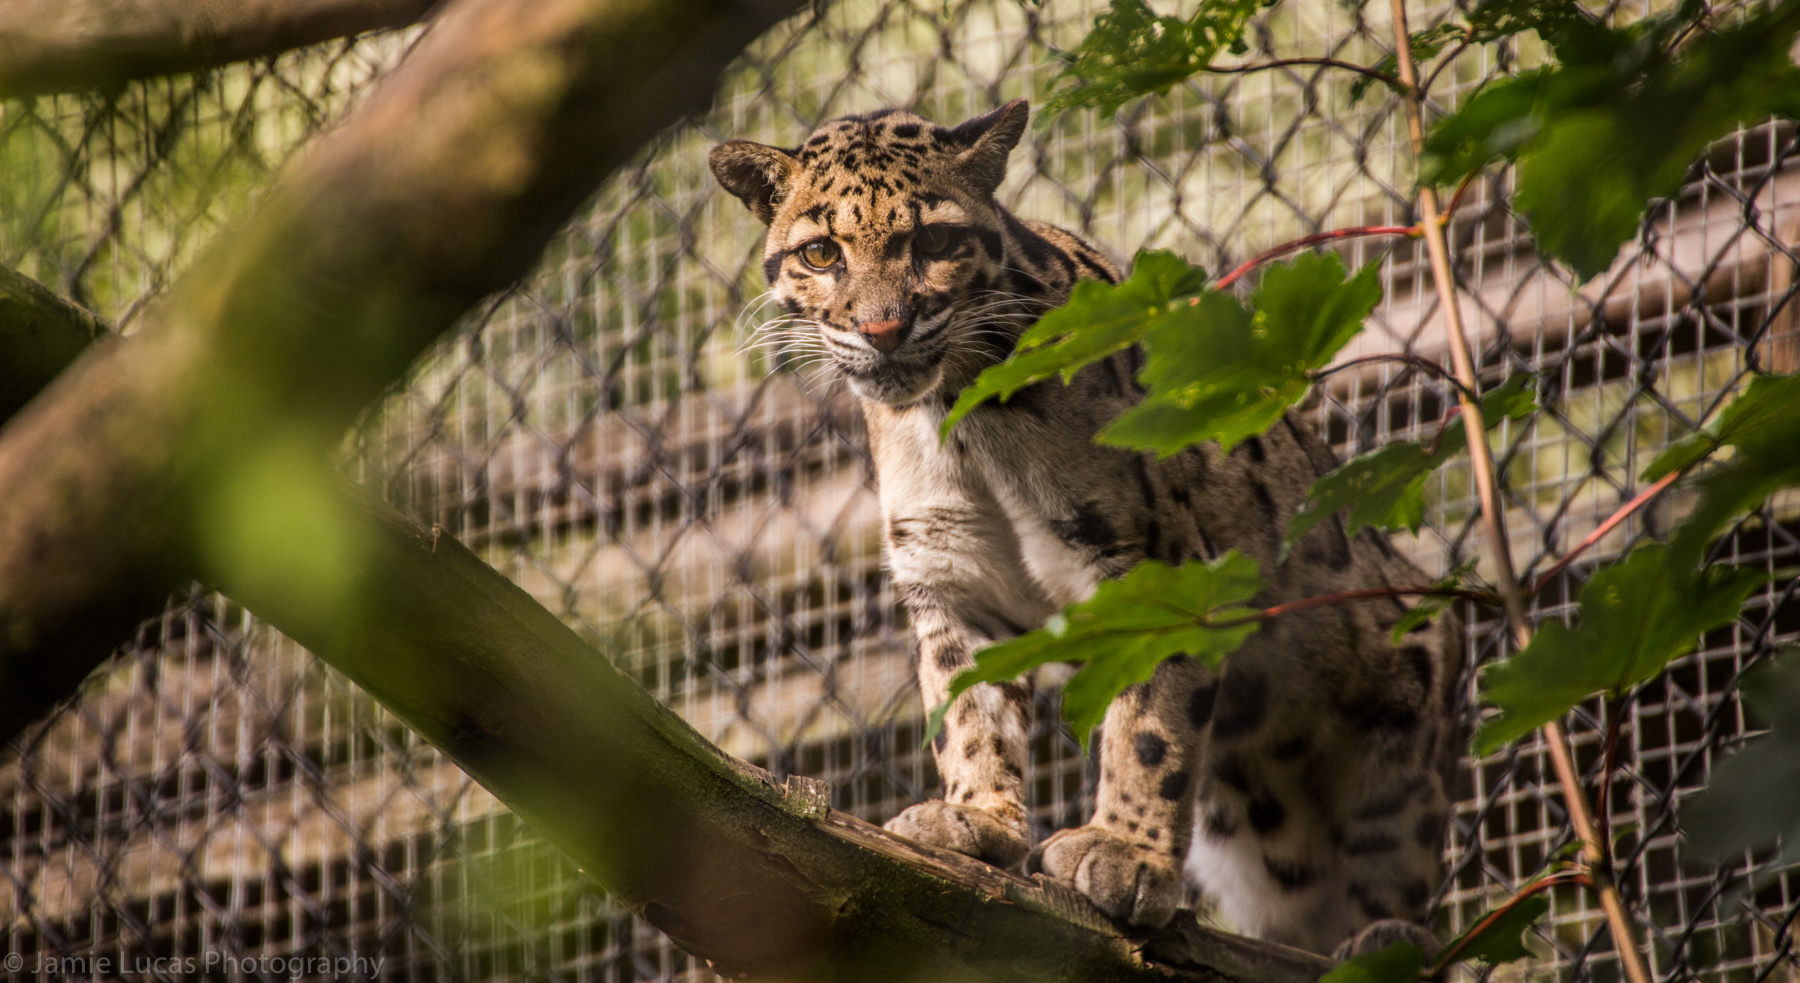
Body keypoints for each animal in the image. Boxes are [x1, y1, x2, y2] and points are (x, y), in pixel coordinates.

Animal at [710, 98, 1462, 958]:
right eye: (822, 252)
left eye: (932, 243)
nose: (883, 329)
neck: (952, 417)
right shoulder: (950, 577)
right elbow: (967, 712)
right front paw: (976, 817)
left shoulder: (1150, 563)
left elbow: (1151, 728)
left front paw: (1125, 852)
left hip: (1405, 703)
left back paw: (1386, 938)